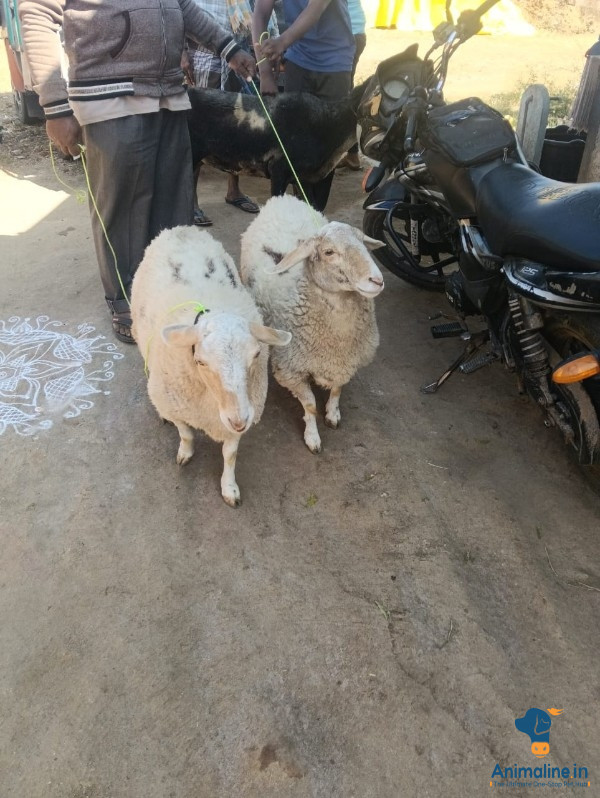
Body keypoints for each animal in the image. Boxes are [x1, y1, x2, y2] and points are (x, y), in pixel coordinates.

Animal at [131, 226, 291, 506]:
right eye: (200, 361)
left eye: (257, 354)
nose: (239, 420)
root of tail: (178, 229)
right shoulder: (177, 406)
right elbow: (185, 434)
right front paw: (185, 453)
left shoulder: (236, 424)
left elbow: (230, 455)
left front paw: (229, 488)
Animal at [240, 195, 385, 454]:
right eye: (329, 252)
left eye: (363, 244)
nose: (376, 280)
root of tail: (283, 198)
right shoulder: (291, 369)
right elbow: (310, 405)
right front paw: (312, 436)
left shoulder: (345, 363)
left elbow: (337, 389)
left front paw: (333, 414)